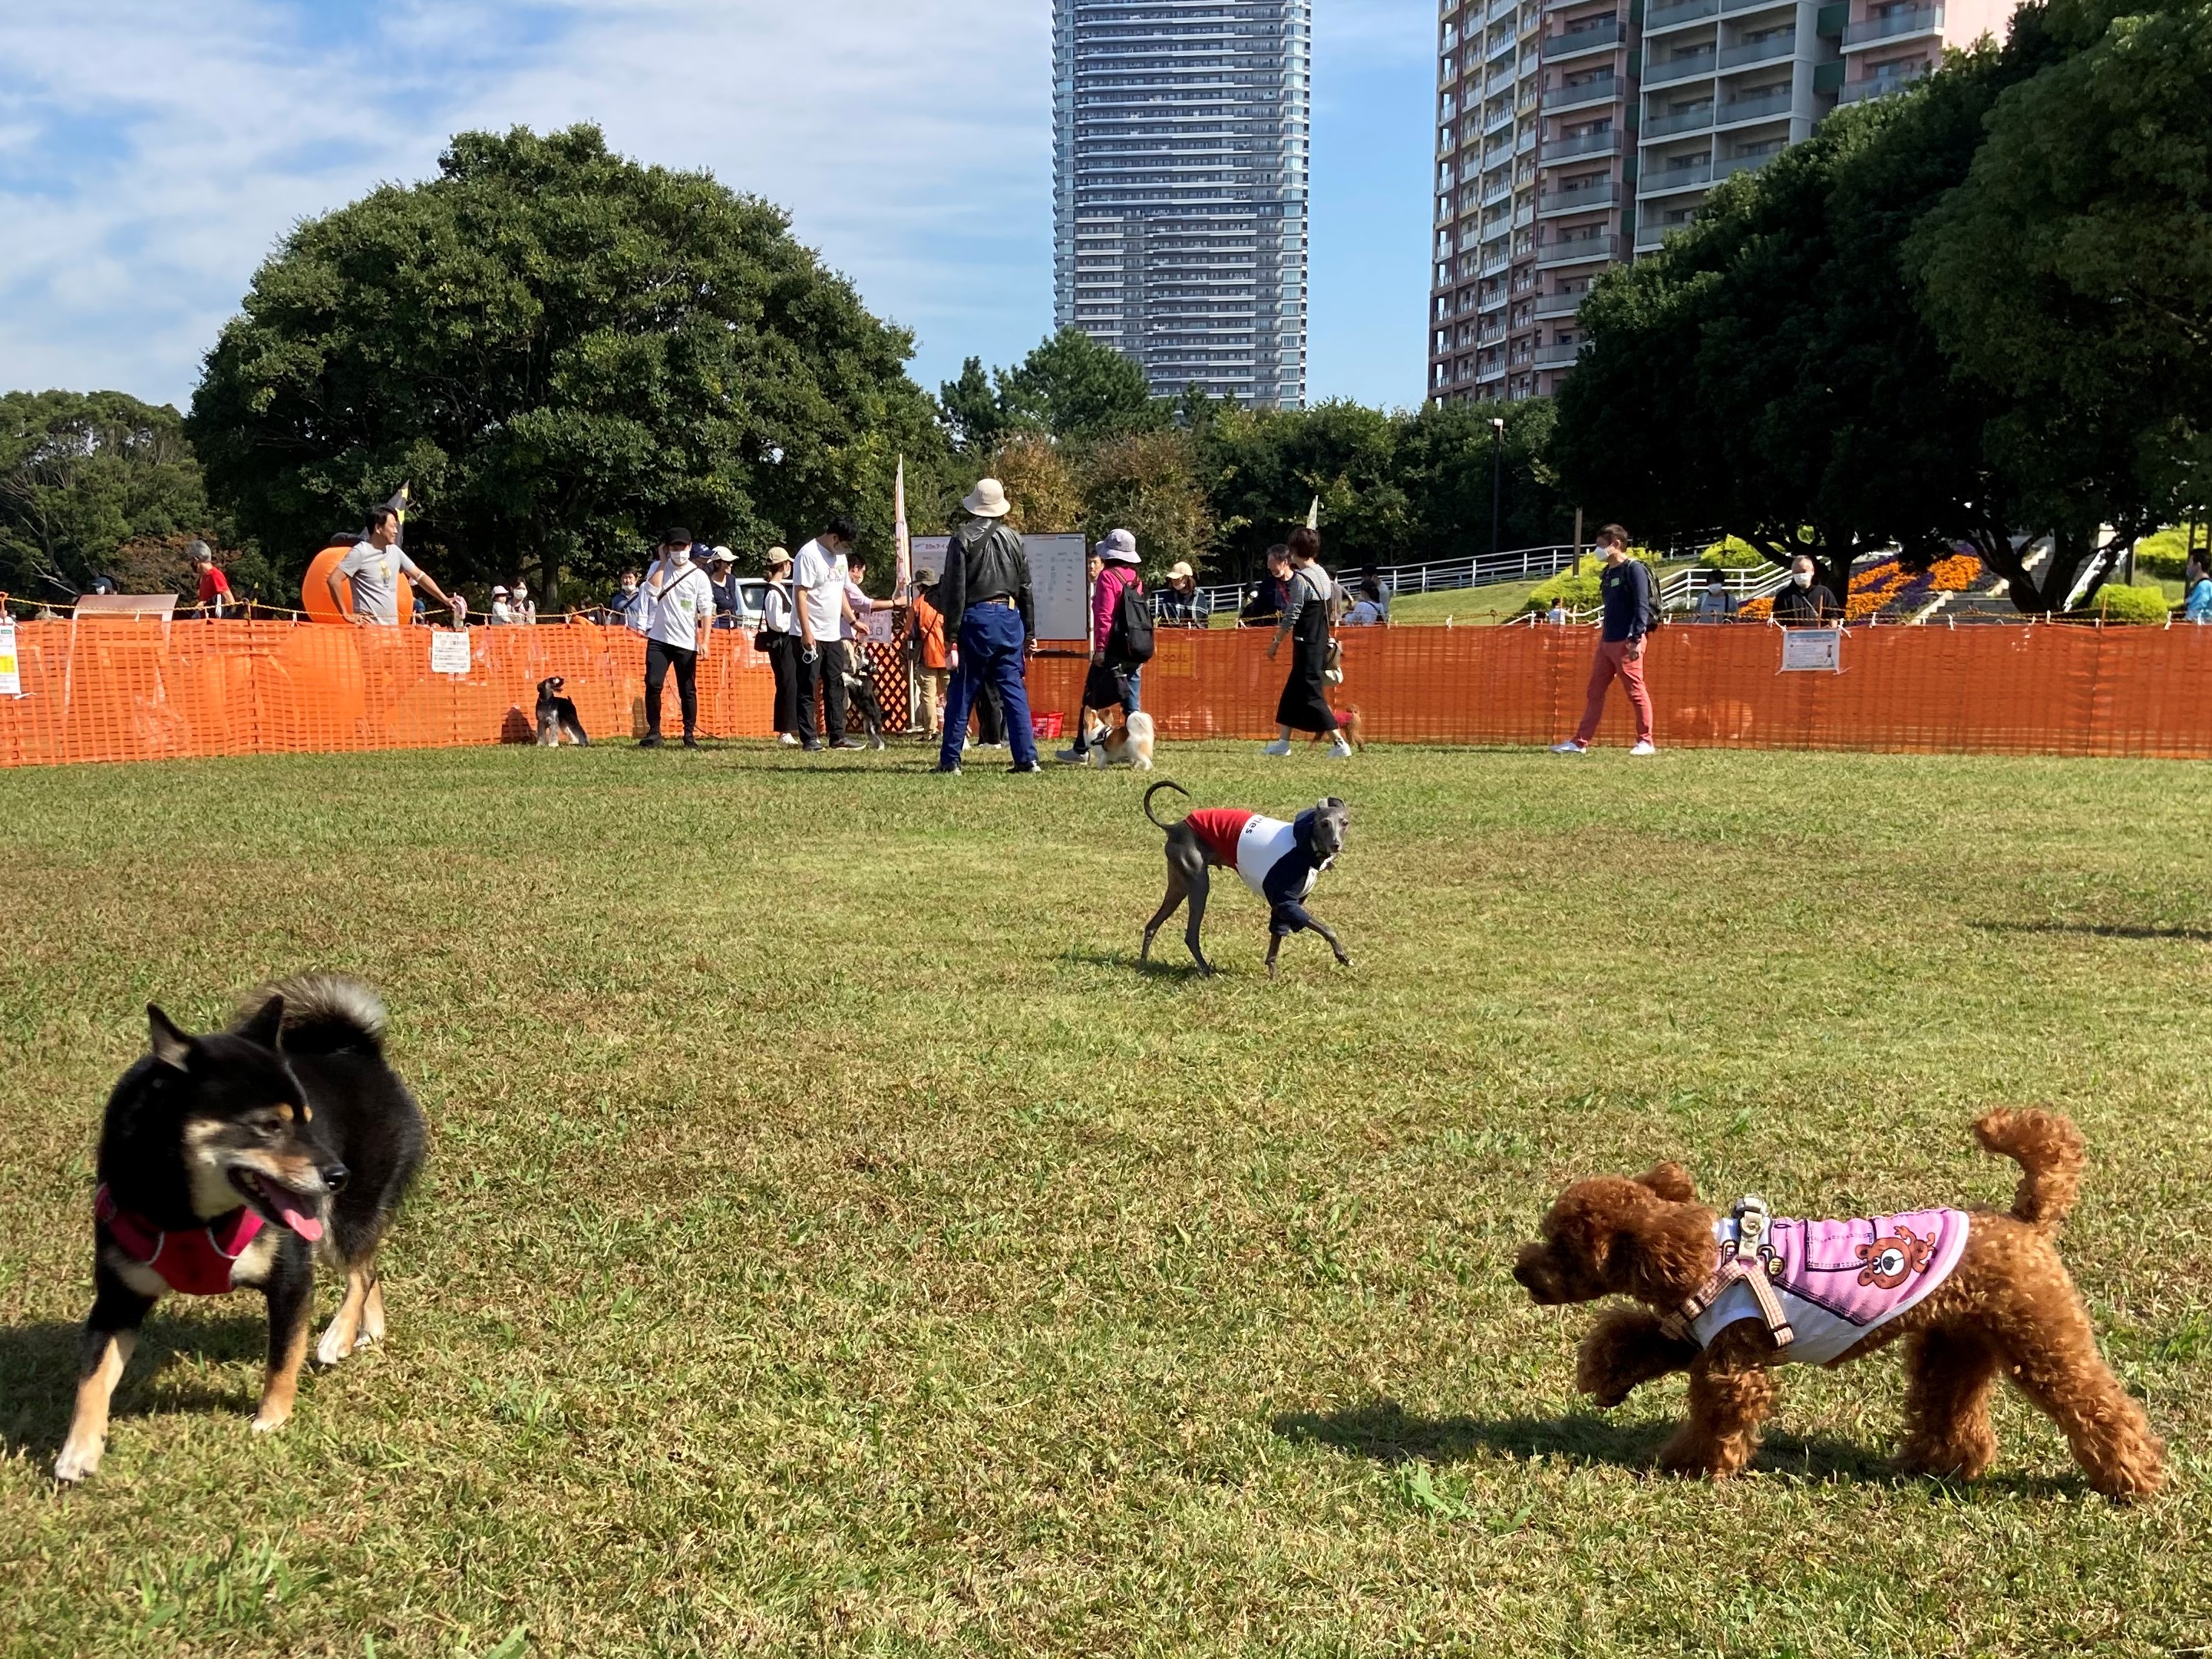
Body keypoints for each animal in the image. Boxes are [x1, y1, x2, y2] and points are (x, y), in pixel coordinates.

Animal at [57, 982, 427, 1486]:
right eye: (270, 1125)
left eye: (307, 1118)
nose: (338, 1174)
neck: (188, 1216)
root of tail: (359, 1051)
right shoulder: (118, 1299)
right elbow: (91, 1378)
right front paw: (78, 1450)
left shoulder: (291, 1278)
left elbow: (283, 1357)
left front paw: (272, 1418)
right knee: (371, 1266)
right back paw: (366, 1330)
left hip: (341, 1221)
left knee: (361, 1270)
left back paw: (338, 1335)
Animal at [1141, 782, 1345, 982]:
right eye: (1324, 823)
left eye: (1344, 823)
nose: (1336, 845)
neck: (1305, 845)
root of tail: (1175, 827)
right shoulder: (1285, 902)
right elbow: (1327, 929)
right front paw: (1341, 954)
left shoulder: (1286, 906)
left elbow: (1276, 940)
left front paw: (1274, 975)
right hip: (1198, 884)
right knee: (1190, 936)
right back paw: (1206, 970)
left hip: (1178, 886)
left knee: (1152, 925)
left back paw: (1143, 964)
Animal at [1513, 1110, 2167, 1504]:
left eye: (1562, 1248)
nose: (1520, 1270)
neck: (1710, 1257)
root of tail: (2023, 1220)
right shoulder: (1694, 1330)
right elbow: (1635, 1336)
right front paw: (1605, 1378)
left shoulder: (1732, 1358)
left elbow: (1715, 1414)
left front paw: (1691, 1465)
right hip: (1953, 1341)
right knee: (1952, 1407)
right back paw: (1938, 1465)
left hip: (2040, 1334)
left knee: (2096, 1404)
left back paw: (2133, 1478)